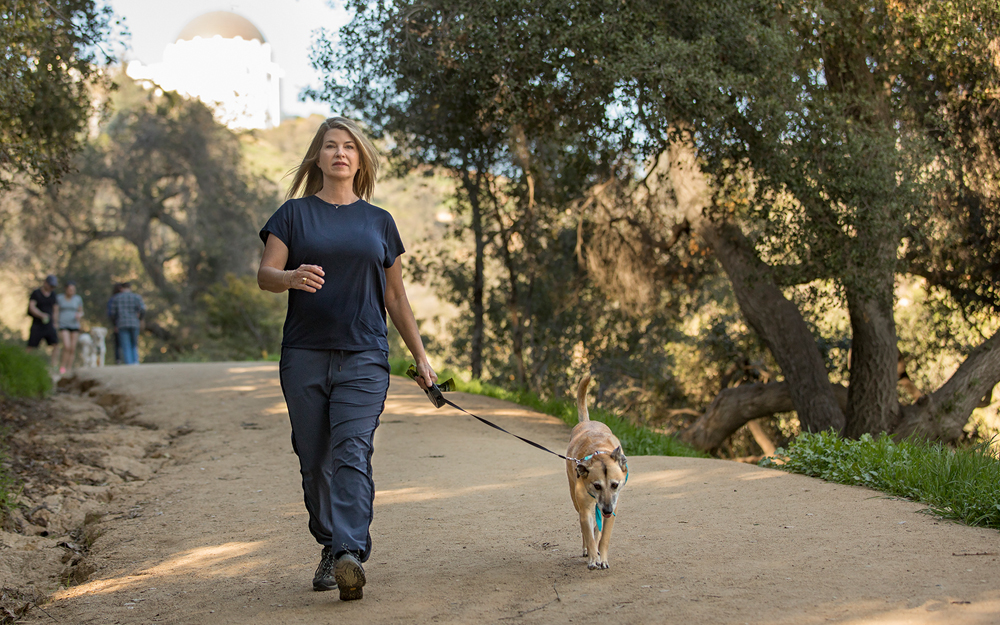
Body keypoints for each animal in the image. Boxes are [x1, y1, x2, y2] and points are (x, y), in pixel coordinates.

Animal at [568, 376, 628, 572]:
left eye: (615, 485)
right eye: (596, 485)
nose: (607, 509)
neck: (599, 452)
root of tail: (587, 421)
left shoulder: (613, 508)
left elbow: (604, 536)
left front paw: (603, 557)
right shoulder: (586, 508)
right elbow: (587, 530)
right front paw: (593, 557)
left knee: (597, 527)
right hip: (575, 497)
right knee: (586, 528)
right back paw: (588, 548)